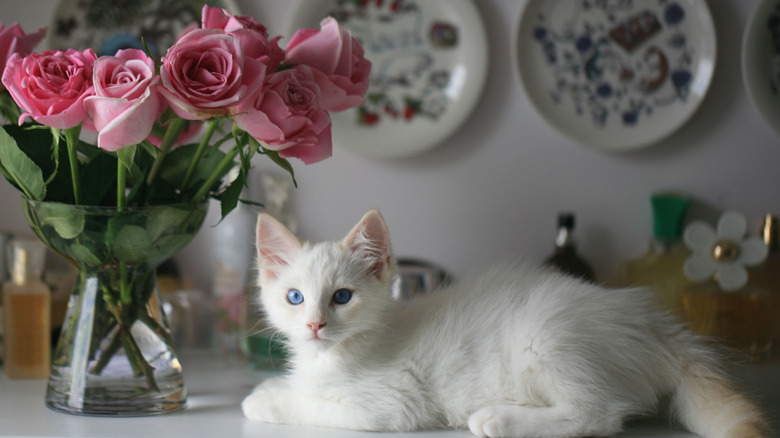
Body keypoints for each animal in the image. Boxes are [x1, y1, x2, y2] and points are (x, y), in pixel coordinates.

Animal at [242, 210, 768, 436]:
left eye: (342, 297)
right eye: (294, 297)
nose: (314, 325)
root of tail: (658, 327)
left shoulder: (390, 402)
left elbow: (313, 406)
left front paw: (265, 401)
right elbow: (301, 388)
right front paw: (271, 386)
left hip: (547, 338)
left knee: (600, 415)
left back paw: (499, 419)